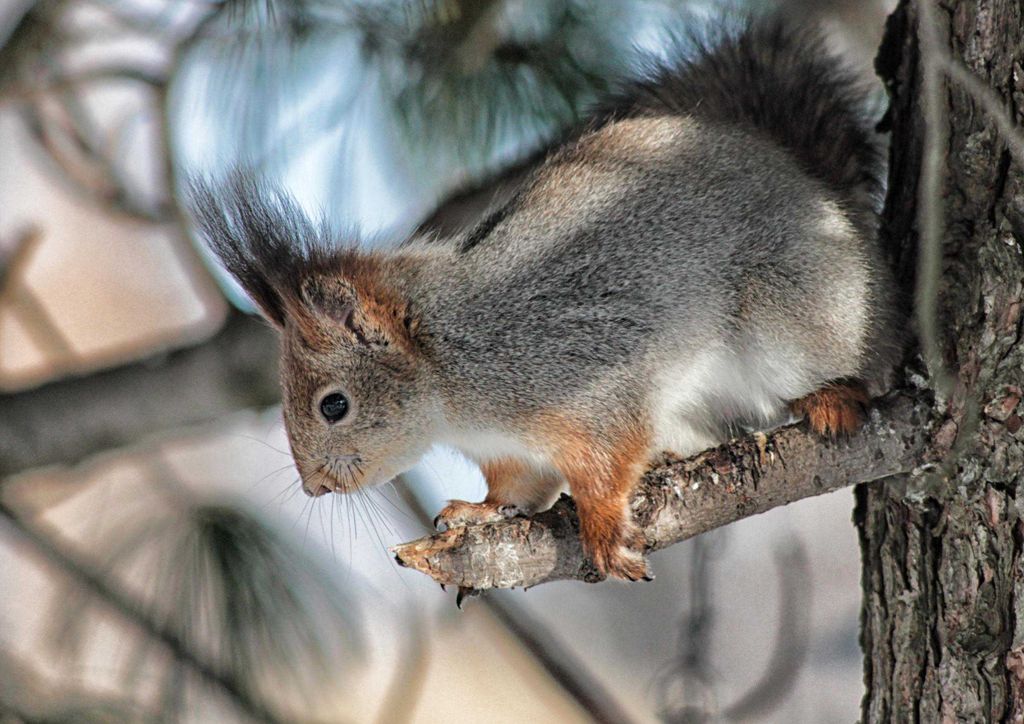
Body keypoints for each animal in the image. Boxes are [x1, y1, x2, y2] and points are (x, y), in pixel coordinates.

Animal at [188, 17, 902, 581]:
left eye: (333, 405)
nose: (314, 486)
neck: (449, 372)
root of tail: (828, 201)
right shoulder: (510, 450)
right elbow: (517, 488)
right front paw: (477, 511)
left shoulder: (584, 380)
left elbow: (607, 460)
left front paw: (603, 528)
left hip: (793, 317)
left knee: (854, 363)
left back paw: (832, 396)